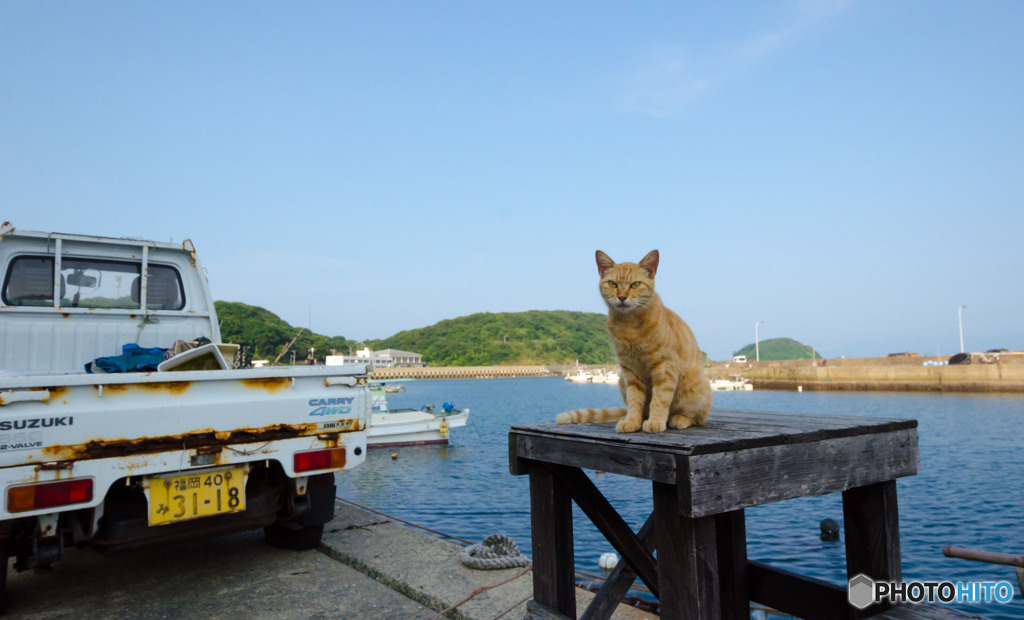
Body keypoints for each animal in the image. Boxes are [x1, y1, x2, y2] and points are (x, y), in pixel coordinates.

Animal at [561, 249, 712, 432]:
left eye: (635, 284)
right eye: (613, 284)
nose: (622, 297)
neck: (630, 325)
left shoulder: (664, 368)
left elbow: (660, 399)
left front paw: (655, 421)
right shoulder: (630, 371)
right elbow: (634, 401)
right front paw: (632, 421)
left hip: (693, 388)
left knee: (698, 417)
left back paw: (679, 419)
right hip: (621, 381)